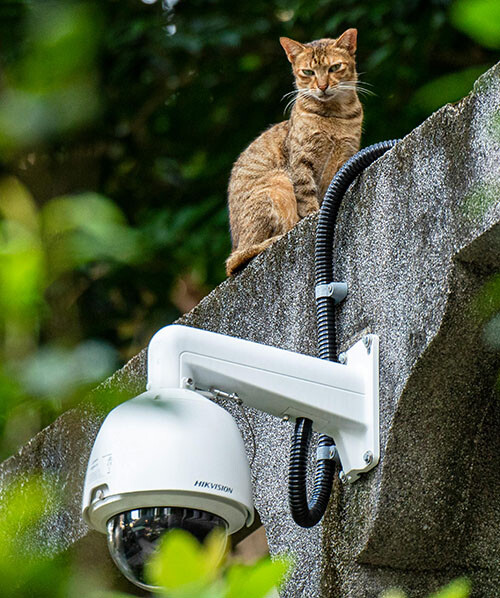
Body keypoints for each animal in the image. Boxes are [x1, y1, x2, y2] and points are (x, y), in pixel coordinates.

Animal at [227, 29, 364, 278]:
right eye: (308, 72)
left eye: (334, 67)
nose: (322, 86)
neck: (335, 116)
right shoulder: (301, 161)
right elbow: (307, 196)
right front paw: (312, 215)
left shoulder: (344, 158)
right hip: (277, 180)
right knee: (237, 258)